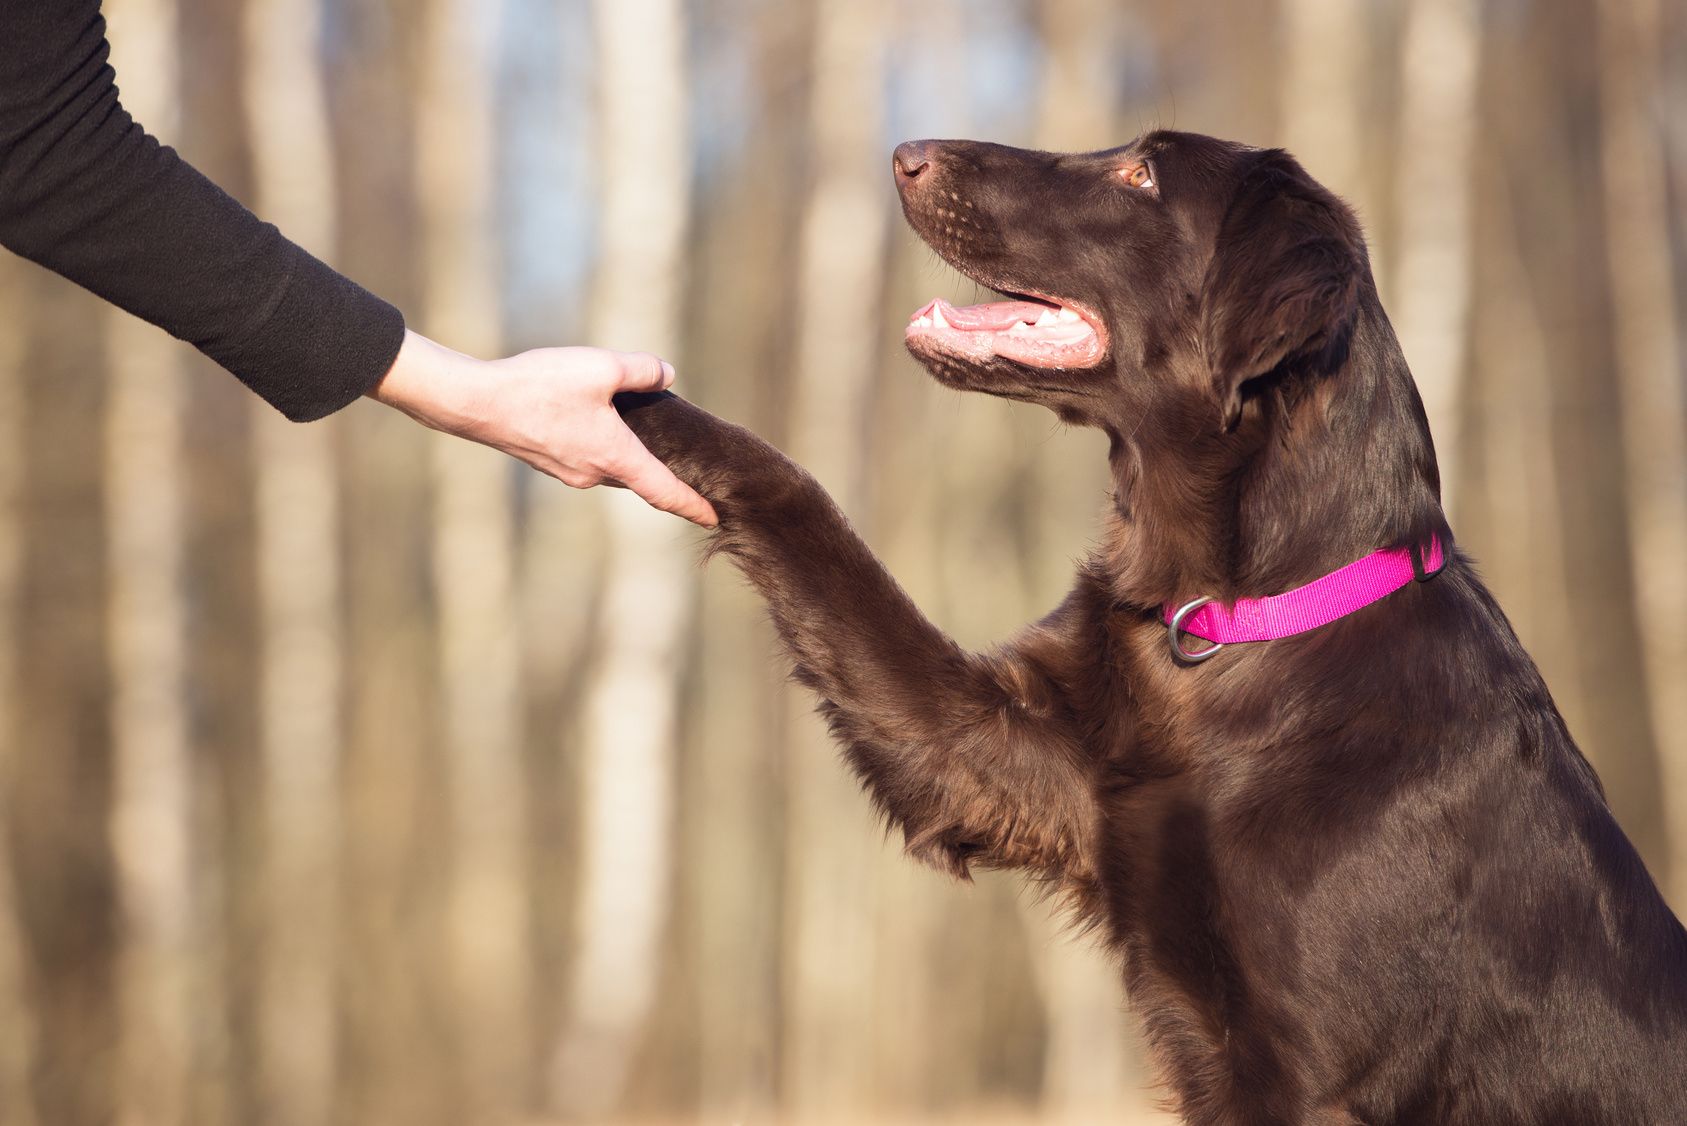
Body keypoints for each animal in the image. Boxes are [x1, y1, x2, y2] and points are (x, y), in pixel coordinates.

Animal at [617, 134, 1687, 1126]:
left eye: (1139, 176)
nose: (906, 153)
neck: (1236, 620)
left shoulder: (1318, 1077)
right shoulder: (994, 755)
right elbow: (805, 512)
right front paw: (633, 398)